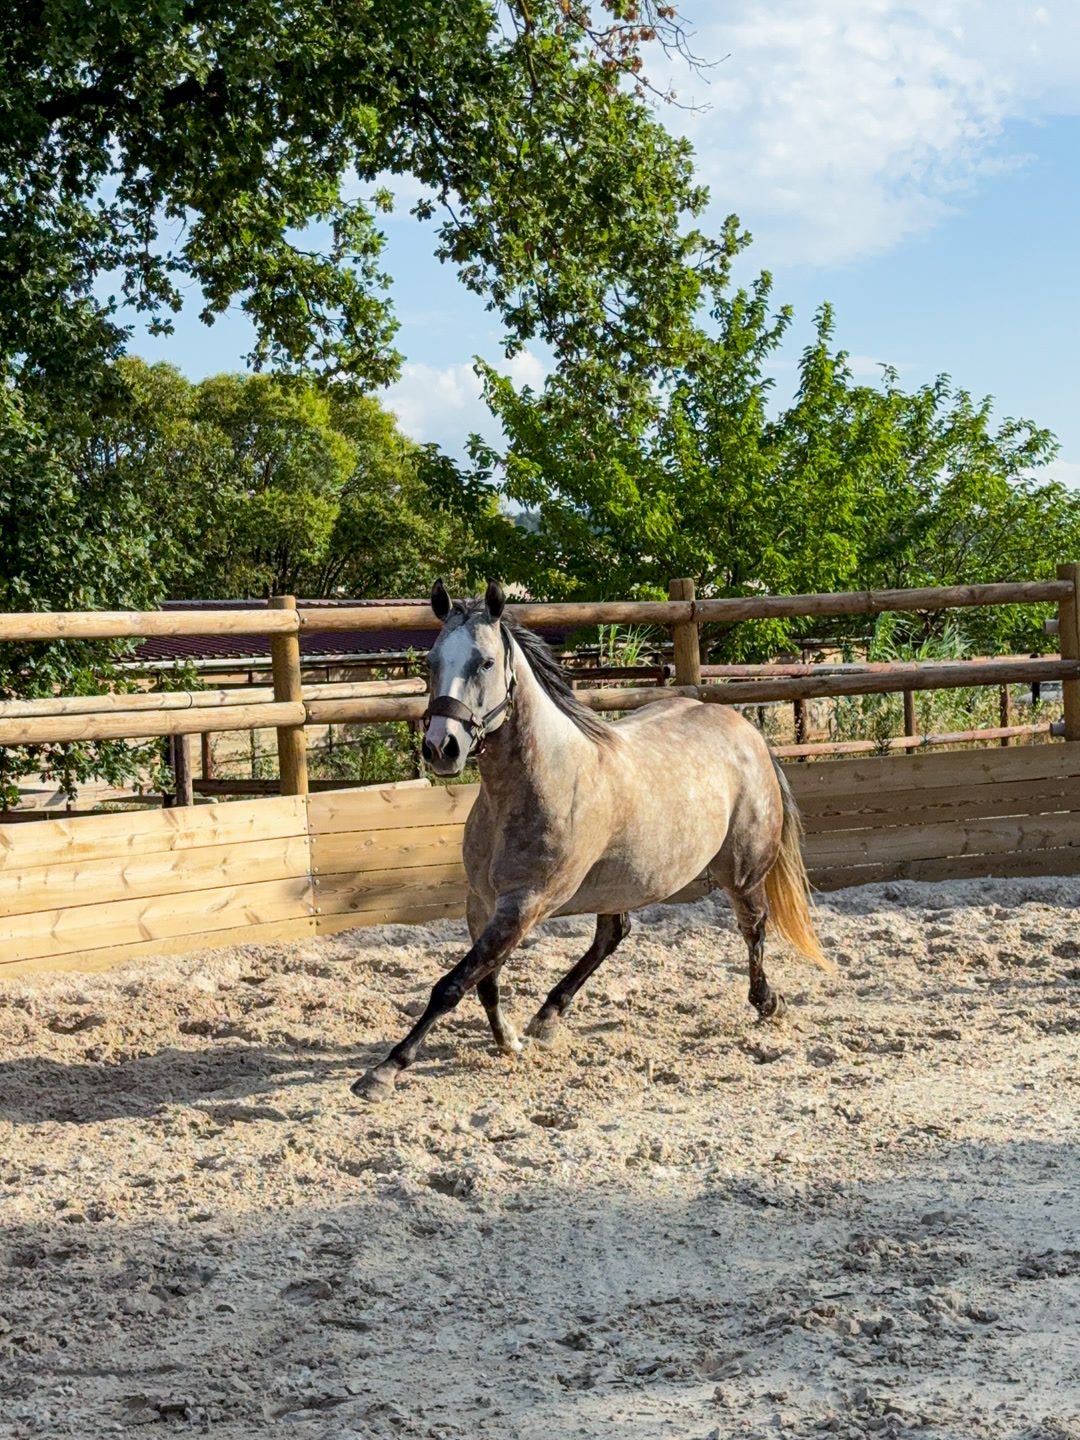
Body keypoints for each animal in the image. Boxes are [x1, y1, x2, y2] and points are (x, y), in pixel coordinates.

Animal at [352, 580, 830, 1103]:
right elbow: (484, 978)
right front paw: (509, 1040)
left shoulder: (525, 904)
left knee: (753, 926)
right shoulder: (481, 902)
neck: (538, 783)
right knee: (613, 935)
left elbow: (454, 984)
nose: (442, 748)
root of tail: (747, 731)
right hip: (620, 883)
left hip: (741, 870)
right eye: (431, 662)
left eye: (485, 663)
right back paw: (546, 1017)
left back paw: (768, 1002)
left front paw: (384, 1070)